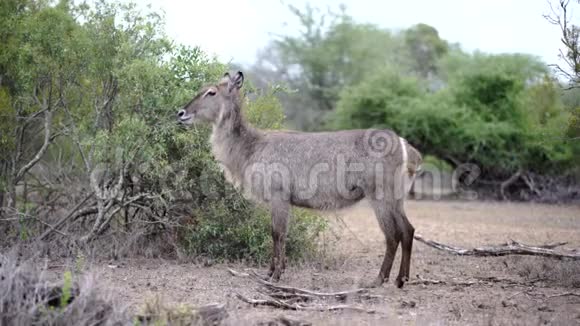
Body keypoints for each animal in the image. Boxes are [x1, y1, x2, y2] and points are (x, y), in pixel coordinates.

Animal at [177, 71, 422, 288]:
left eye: (211, 92)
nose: (180, 113)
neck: (251, 145)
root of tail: (404, 144)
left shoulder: (279, 196)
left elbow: (277, 234)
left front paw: (275, 275)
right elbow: (277, 234)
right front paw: (270, 272)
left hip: (380, 196)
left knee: (393, 235)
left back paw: (380, 279)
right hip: (397, 199)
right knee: (408, 230)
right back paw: (402, 279)